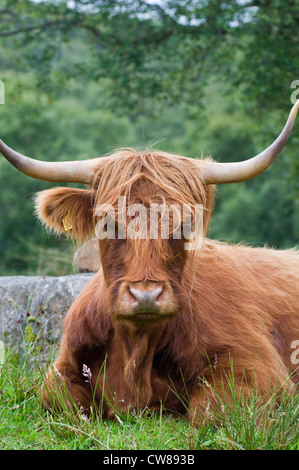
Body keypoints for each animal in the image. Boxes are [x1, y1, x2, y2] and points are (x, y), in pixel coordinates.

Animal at [0, 100, 299, 422]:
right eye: (107, 223)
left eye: (183, 225)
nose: (146, 295)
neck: (135, 349)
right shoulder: (64, 366)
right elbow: (58, 399)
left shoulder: (255, 368)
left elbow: (211, 410)